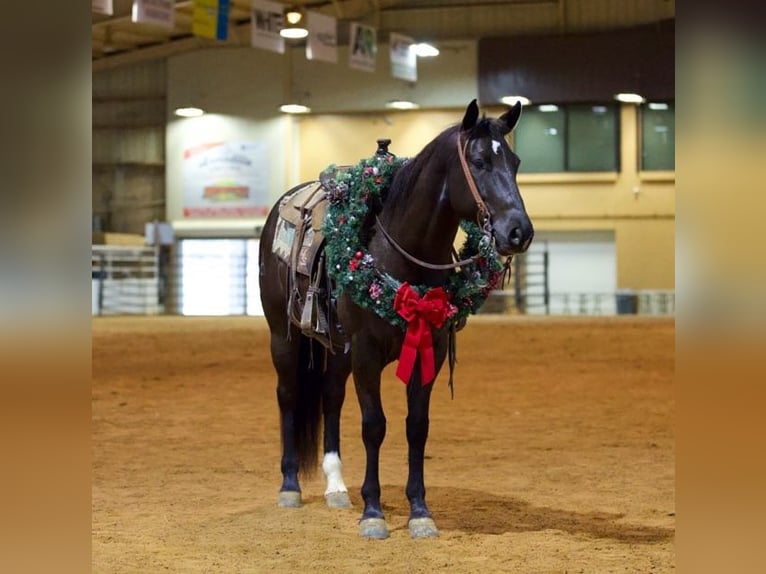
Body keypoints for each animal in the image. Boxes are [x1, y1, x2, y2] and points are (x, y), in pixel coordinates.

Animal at [258, 100, 536, 540]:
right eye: (478, 162)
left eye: (515, 161)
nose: (518, 232)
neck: (400, 253)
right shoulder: (367, 355)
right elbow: (374, 425)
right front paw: (373, 513)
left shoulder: (428, 349)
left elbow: (416, 426)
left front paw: (420, 511)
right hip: (282, 337)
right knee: (287, 395)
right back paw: (290, 487)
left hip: (337, 350)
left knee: (330, 397)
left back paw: (336, 487)